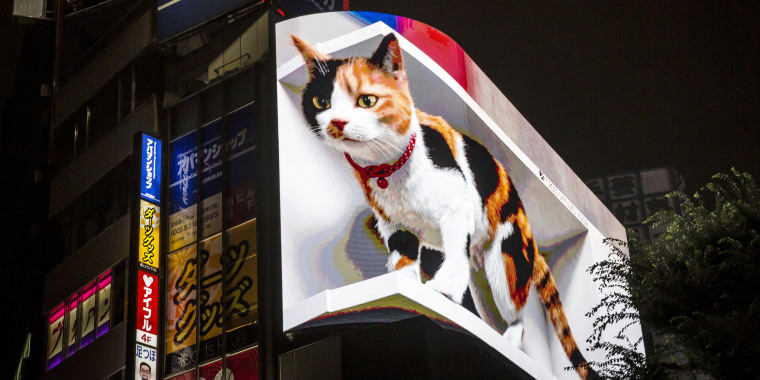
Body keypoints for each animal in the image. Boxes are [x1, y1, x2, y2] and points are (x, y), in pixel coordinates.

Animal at [294, 33, 596, 380]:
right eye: (322, 103)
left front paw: (443, 289)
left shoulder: (457, 208)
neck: (387, 171)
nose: (337, 123)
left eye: (367, 101)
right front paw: (407, 288)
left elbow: (453, 251)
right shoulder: (392, 223)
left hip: (504, 264)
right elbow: (403, 253)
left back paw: (506, 341)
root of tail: (526, 224)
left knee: (517, 315)